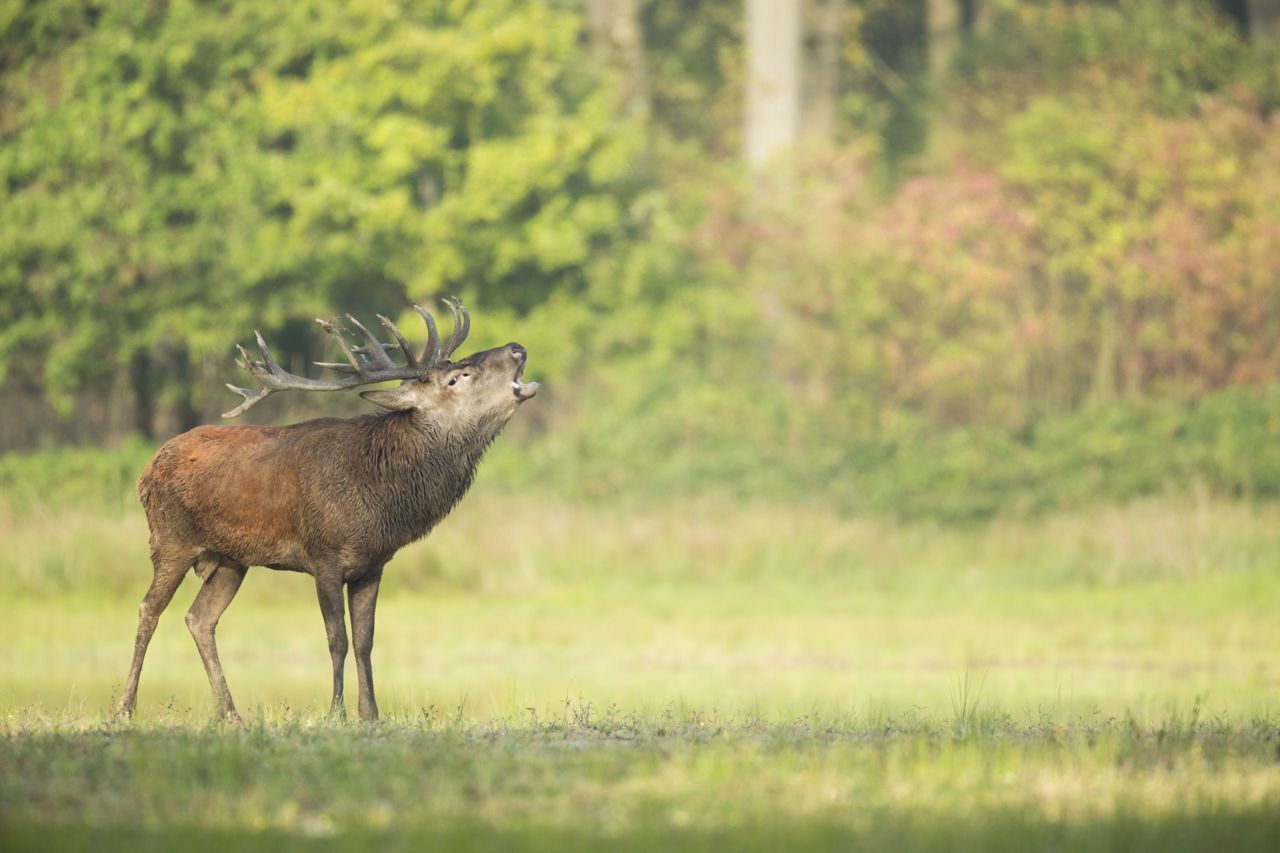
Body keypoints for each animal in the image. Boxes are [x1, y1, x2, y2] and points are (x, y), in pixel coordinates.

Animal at [117, 294, 537, 717]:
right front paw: (336, 711)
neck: (381, 499)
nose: (518, 348)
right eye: (457, 378)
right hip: (171, 540)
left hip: (230, 560)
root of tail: (146, 470)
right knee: (149, 609)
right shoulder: (324, 557)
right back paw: (125, 706)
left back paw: (231, 713)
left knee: (199, 618)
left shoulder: (373, 565)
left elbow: (366, 642)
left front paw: (370, 714)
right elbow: (338, 640)